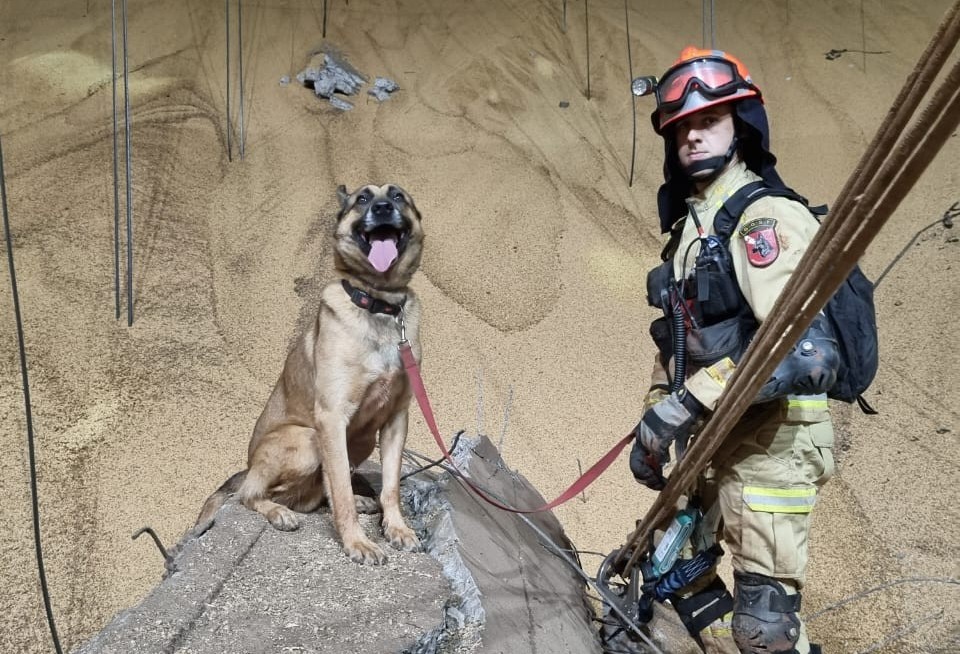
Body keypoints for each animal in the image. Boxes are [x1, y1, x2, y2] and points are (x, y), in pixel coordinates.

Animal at [197, 183, 426, 564]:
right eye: (363, 199)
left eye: (398, 196)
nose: (381, 208)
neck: (379, 304)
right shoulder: (332, 418)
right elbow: (341, 491)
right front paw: (357, 542)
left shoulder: (396, 419)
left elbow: (390, 486)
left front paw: (396, 528)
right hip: (307, 440)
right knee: (251, 493)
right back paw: (279, 512)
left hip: (357, 441)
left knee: (316, 494)